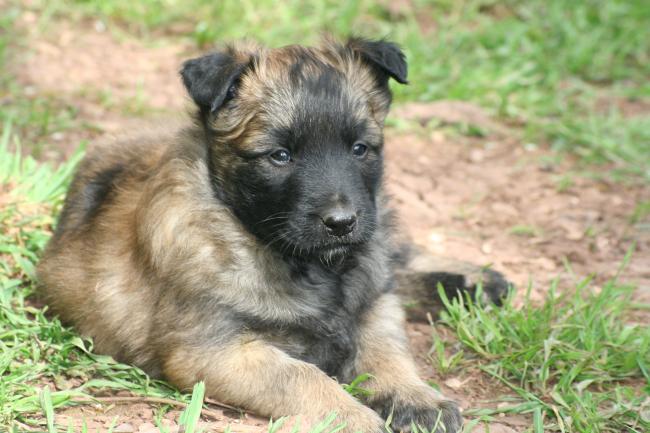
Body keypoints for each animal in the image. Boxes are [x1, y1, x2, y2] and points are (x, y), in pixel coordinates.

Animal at [36, 38, 506, 432]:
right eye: (280, 156)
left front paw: (414, 396)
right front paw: (355, 418)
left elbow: (387, 350)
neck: (308, 266)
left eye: (359, 149)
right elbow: (302, 377)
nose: (342, 223)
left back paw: (476, 281)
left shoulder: (373, 303)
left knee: (398, 262)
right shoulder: (214, 350)